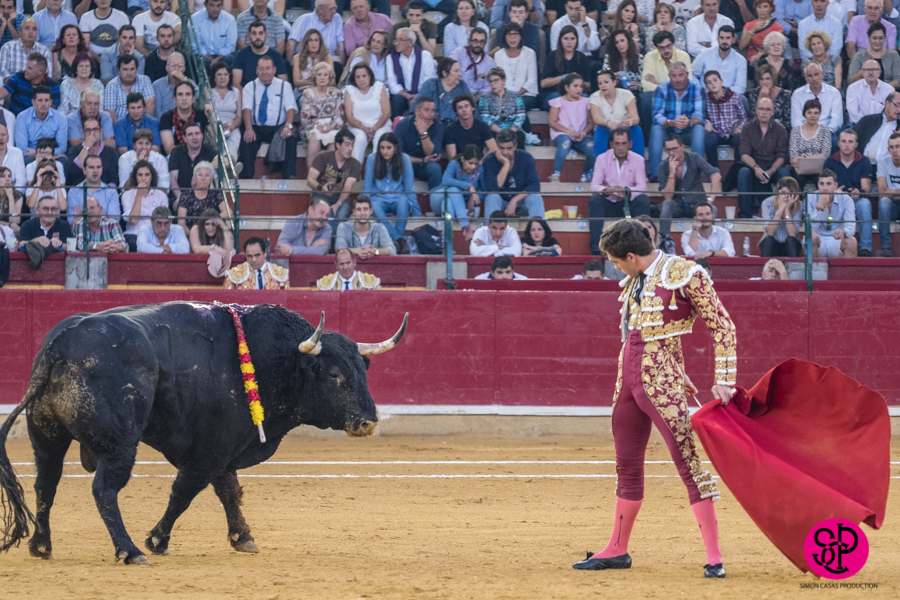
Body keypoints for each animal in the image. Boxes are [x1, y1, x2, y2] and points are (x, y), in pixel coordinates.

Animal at [0, 301, 407, 565]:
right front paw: (157, 540)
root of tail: (59, 346)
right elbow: (186, 491)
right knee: (103, 489)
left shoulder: (225, 446)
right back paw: (130, 551)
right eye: (335, 374)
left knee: (45, 483)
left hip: (46, 436)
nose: (367, 421)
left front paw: (243, 538)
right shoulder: (212, 448)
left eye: (363, 370)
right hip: (120, 445)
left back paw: (41, 545)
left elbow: (228, 491)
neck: (270, 359)